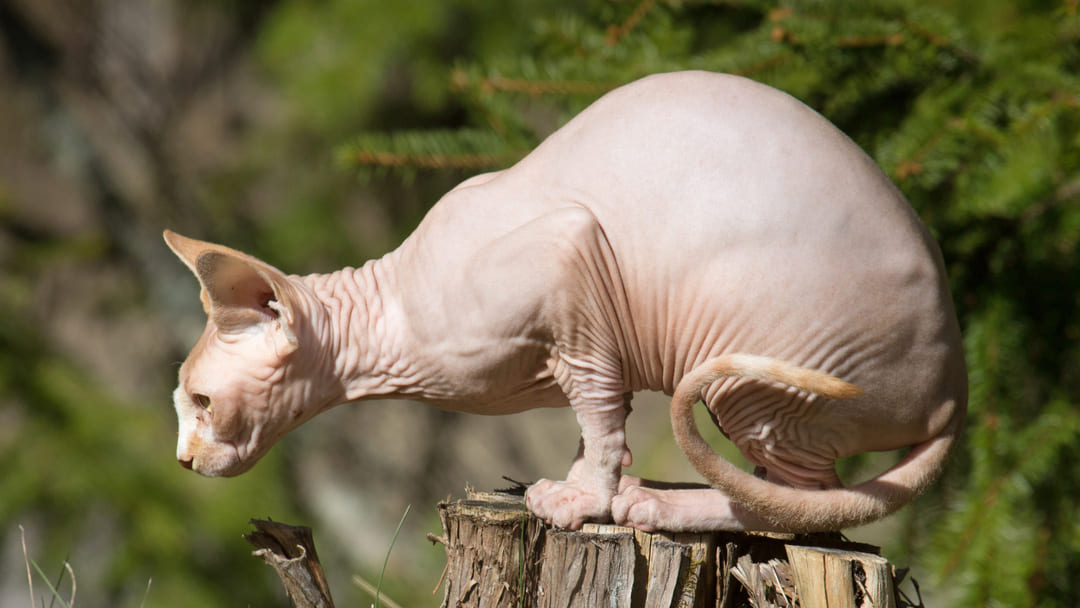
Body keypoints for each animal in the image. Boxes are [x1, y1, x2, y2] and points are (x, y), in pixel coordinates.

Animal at [164, 71, 967, 533]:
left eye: (201, 402)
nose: (182, 461)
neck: (390, 319)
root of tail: (954, 389)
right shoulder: (593, 334)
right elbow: (596, 414)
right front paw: (581, 483)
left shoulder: (568, 253)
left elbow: (599, 411)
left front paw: (588, 503)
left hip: (759, 379)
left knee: (802, 506)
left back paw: (663, 506)